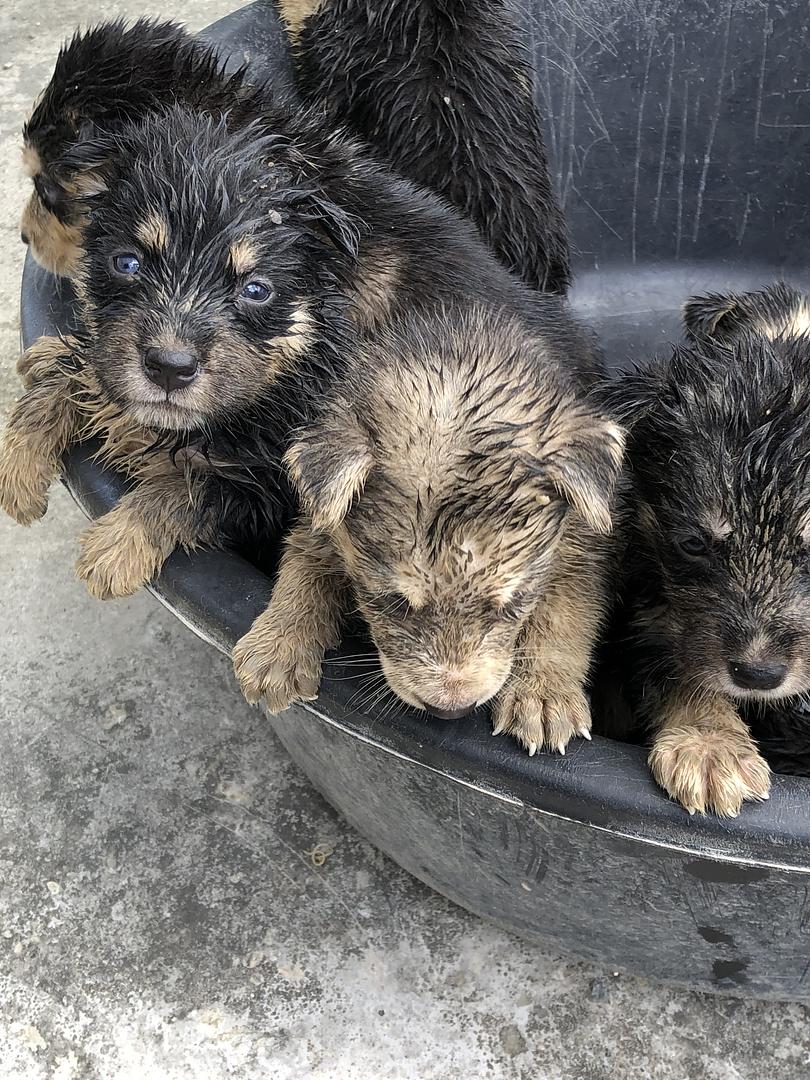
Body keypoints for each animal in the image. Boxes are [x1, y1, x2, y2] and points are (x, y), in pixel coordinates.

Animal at [231, 300, 626, 756]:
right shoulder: (324, 524)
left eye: (513, 603)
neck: (459, 346)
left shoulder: (580, 546)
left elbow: (563, 616)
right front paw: (279, 645)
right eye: (393, 602)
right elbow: (303, 572)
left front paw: (543, 694)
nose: (451, 707)